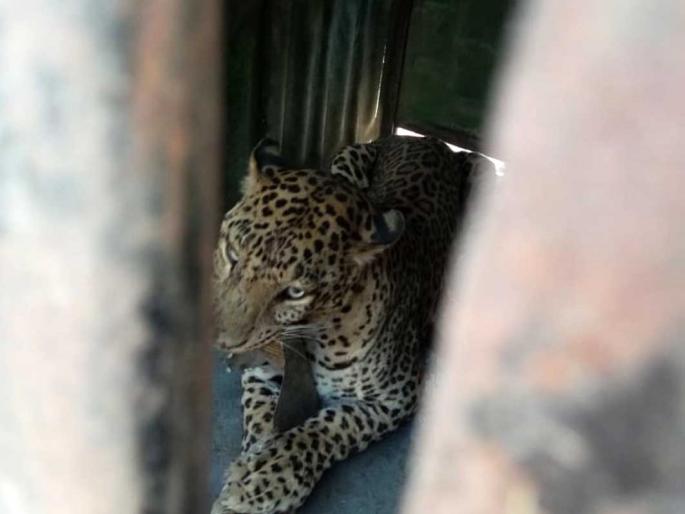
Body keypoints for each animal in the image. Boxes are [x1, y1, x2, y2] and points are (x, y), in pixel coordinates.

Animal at [211, 135, 487, 514]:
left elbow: (328, 427)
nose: (224, 341)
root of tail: (430, 140)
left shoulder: (397, 394)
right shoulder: (261, 372)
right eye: (233, 255)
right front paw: (253, 468)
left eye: (295, 291)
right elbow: (262, 418)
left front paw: (268, 477)